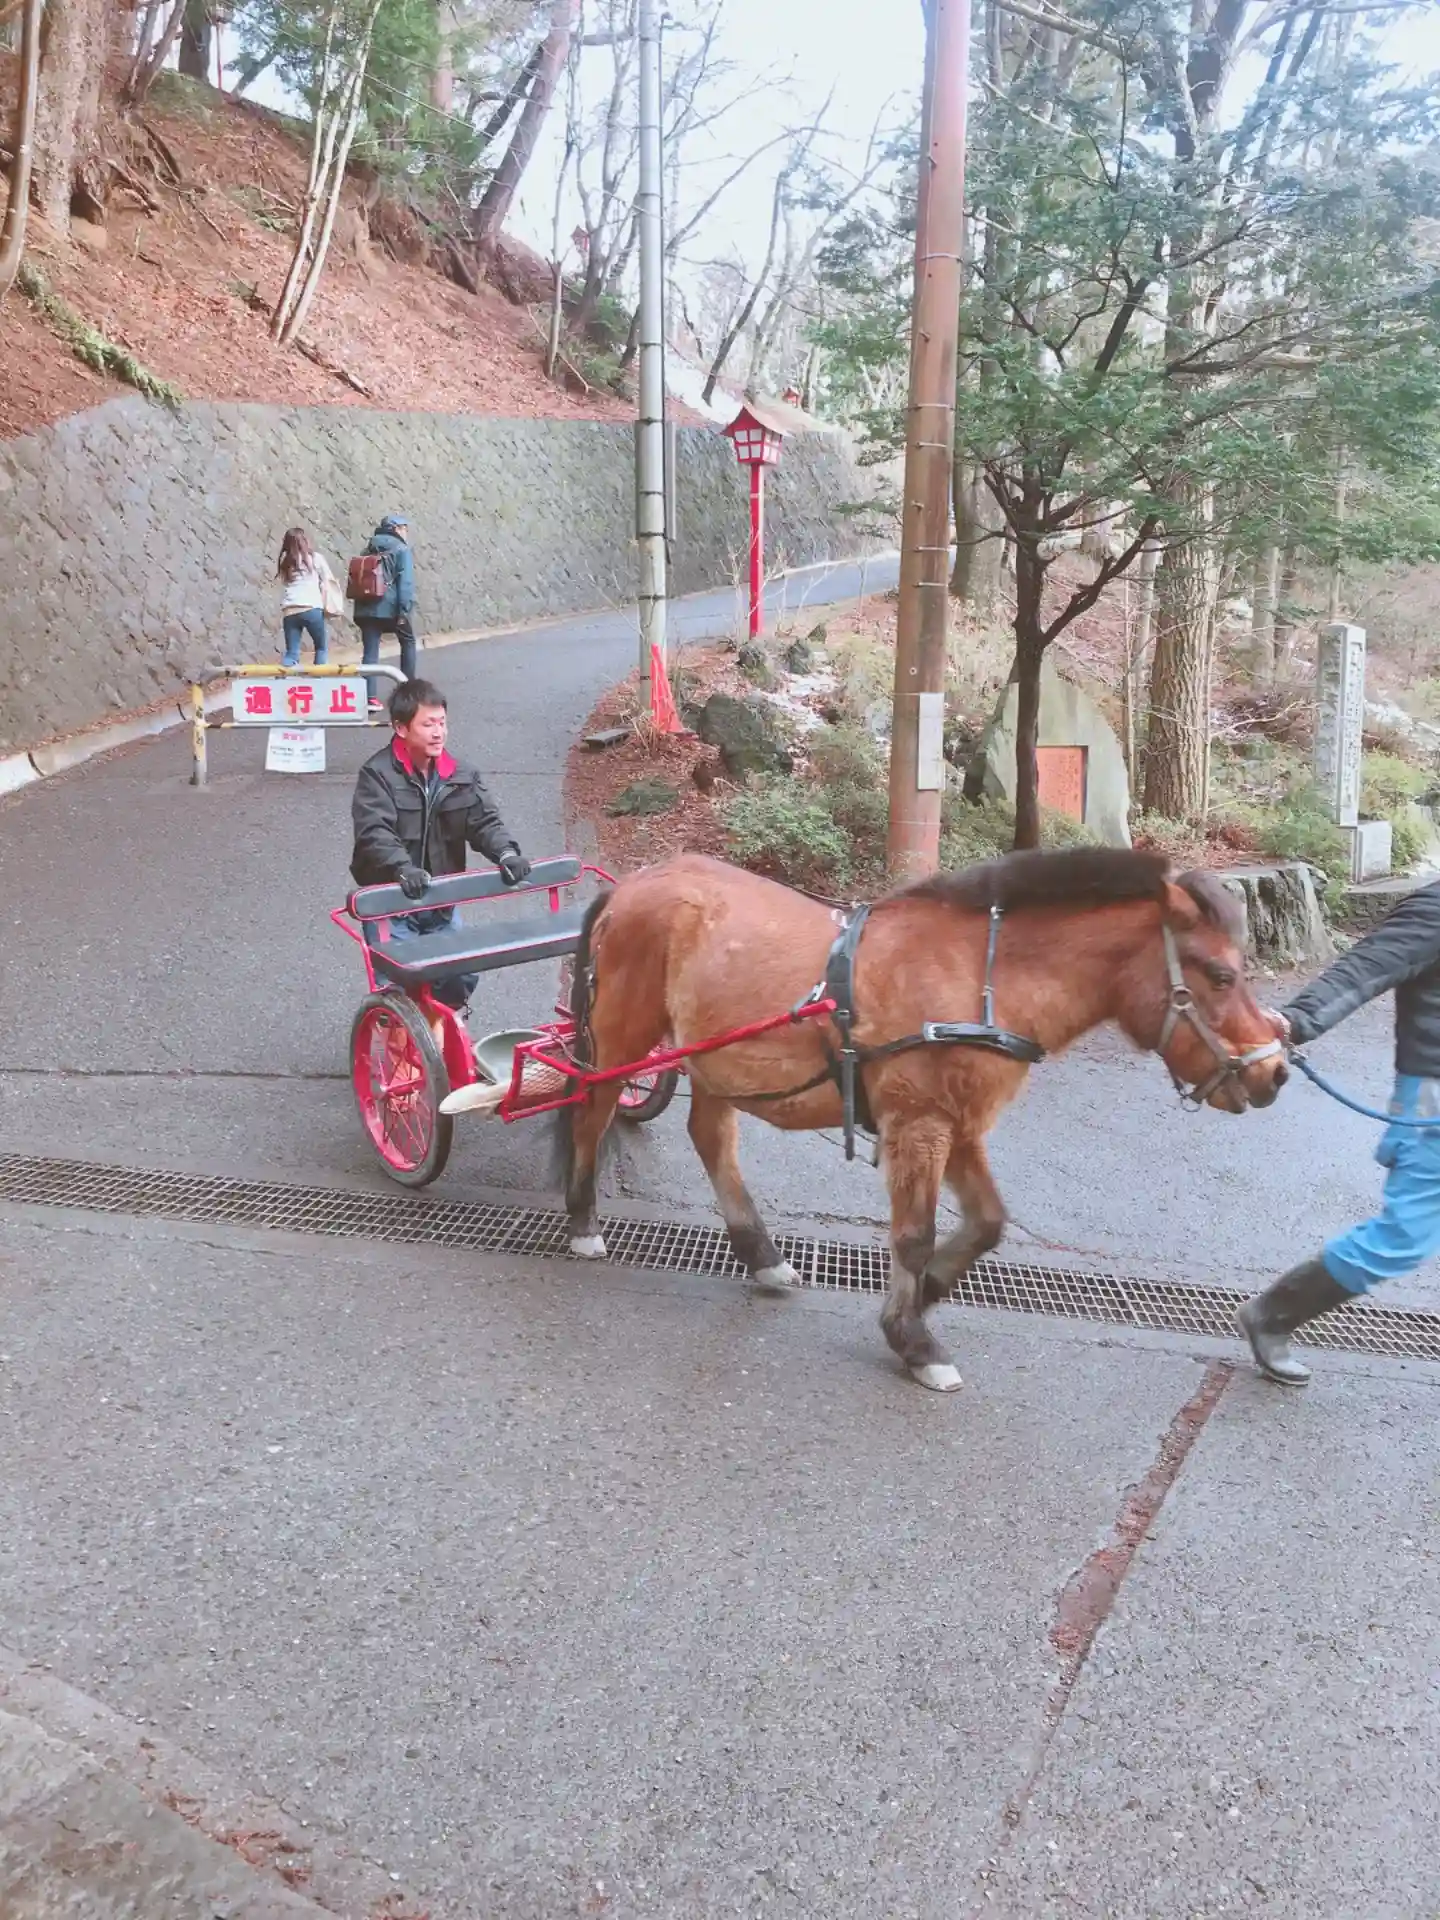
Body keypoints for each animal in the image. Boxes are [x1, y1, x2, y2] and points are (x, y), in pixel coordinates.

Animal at [553, 846, 1289, 1392]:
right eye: (1221, 975)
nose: (1275, 1071)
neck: (982, 981)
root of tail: (635, 884)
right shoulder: (920, 1123)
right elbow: (912, 1235)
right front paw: (912, 1338)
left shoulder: (959, 1124)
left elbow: (987, 1223)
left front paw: (927, 1290)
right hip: (624, 1035)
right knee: (592, 1111)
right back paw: (584, 1222)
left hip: (717, 1057)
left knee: (711, 1139)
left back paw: (761, 1256)